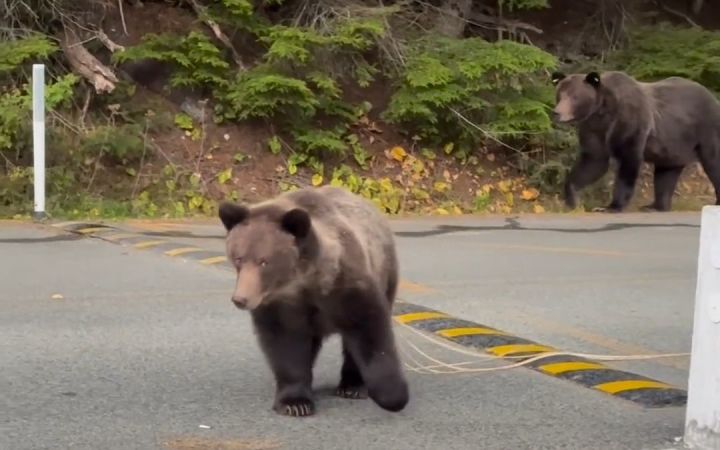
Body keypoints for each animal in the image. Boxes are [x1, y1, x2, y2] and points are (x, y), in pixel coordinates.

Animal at [218, 185, 410, 417]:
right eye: (238, 258)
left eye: (264, 261)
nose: (241, 299)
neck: (305, 280)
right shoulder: (282, 305)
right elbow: (286, 345)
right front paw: (295, 403)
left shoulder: (346, 285)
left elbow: (370, 330)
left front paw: (393, 397)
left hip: (386, 269)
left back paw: (352, 386)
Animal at [550, 70, 720, 212]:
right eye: (560, 95)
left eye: (574, 97)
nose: (557, 112)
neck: (602, 112)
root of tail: (713, 98)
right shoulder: (593, 129)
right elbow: (593, 161)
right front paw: (572, 201)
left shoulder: (629, 121)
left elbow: (628, 161)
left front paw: (612, 206)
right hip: (673, 144)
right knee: (666, 172)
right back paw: (655, 206)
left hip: (706, 129)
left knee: (713, 161)